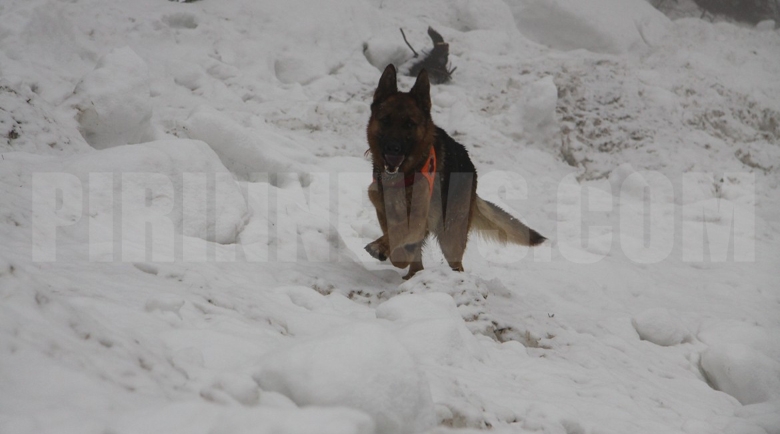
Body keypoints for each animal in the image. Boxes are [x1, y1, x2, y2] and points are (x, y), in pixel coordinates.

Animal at [364, 65, 544, 280]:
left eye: (409, 124)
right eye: (385, 120)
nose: (393, 148)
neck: (404, 176)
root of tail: (471, 168)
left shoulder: (419, 219)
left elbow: (400, 234)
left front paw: (384, 248)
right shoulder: (380, 204)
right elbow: (398, 238)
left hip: (451, 235)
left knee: (455, 264)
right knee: (417, 262)